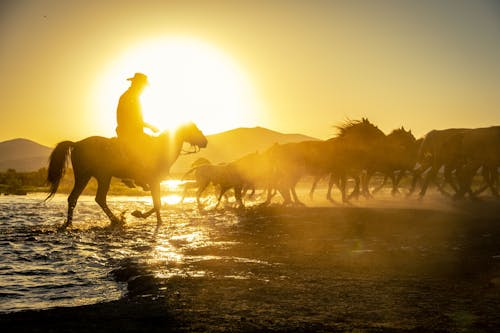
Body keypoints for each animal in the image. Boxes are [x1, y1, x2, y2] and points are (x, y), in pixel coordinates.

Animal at [44, 121, 205, 228]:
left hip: (85, 177)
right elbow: (158, 203)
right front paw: (140, 214)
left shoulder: (155, 182)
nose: (205, 142)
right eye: (194, 129)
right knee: (99, 198)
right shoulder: (154, 181)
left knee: (74, 198)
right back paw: (116, 220)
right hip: (102, 176)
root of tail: (76, 143)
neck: (160, 148)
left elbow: (157, 204)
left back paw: (69, 224)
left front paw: (157, 220)